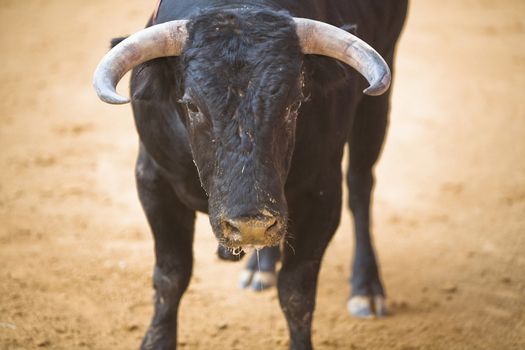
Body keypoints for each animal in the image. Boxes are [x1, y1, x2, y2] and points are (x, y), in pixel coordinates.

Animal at [92, 0, 408, 350]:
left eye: (294, 103)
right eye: (192, 106)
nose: (250, 224)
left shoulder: (322, 192)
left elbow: (297, 291)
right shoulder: (154, 179)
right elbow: (171, 274)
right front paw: (156, 340)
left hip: (378, 92)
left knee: (360, 184)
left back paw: (366, 288)